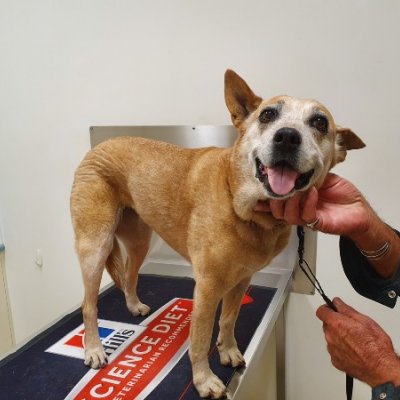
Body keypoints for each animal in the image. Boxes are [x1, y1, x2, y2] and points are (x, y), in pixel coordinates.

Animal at [70, 70, 364, 398]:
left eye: (320, 122)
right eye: (268, 114)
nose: (287, 137)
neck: (244, 208)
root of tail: (98, 146)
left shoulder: (242, 280)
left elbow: (228, 320)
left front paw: (228, 351)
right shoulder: (207, 287)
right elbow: (199, 340)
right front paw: (203, 379)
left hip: (138, 242)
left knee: (130, 277)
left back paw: (134, 306)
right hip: (95, 247)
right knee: (88, 305)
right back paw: (94, 349)